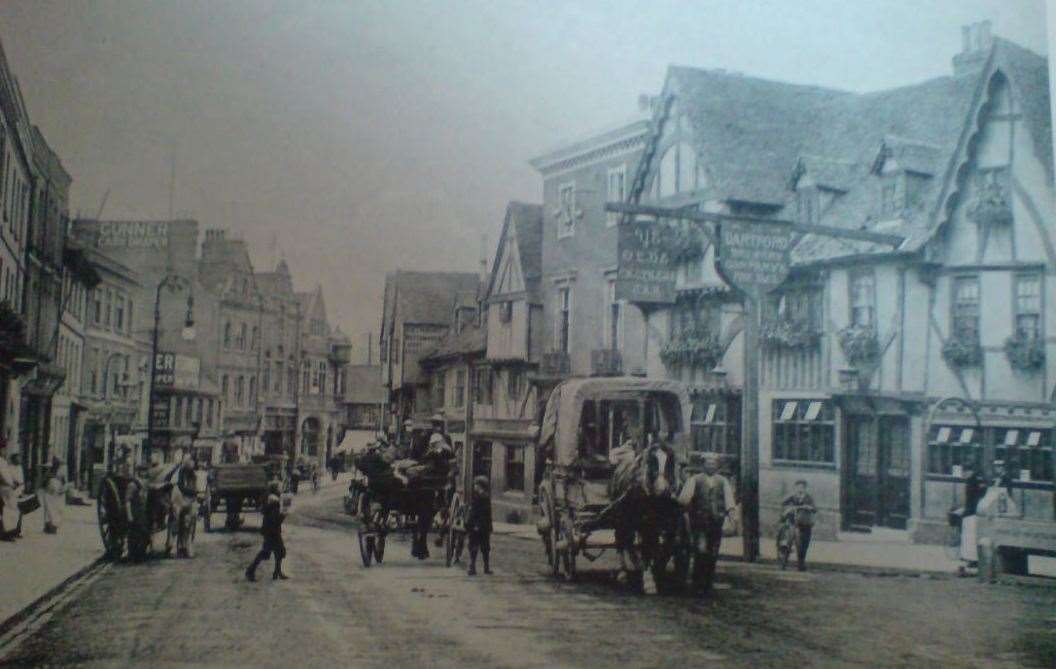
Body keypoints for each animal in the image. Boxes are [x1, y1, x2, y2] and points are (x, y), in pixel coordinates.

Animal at [608, 443, 680, 586]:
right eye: (653, 463)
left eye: (669, 463)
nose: (663, 490)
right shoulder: (644, 523)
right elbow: (646, 546)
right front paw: (649, 580)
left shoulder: (657, 524)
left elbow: (657, 545)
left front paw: (656, 570)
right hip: (621, 516)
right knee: (620, 538)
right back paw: (623, 572)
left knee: (629, 541)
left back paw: (637, 564)